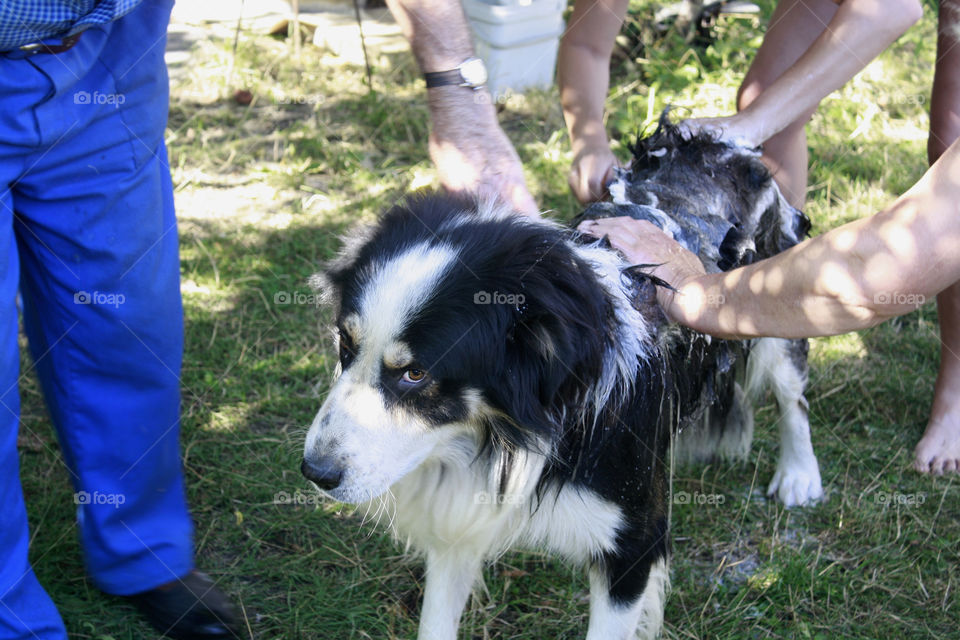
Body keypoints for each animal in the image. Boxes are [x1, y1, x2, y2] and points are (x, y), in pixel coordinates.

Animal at [302, 121, 824, 640]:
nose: (315, 473)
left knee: (792, 396)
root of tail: (714, 138)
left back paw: (798, 475)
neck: (513, 434)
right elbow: (436, 620)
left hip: (775, 307)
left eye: (415, 373)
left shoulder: (633, 544)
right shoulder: (461, 519)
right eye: (345, 345)